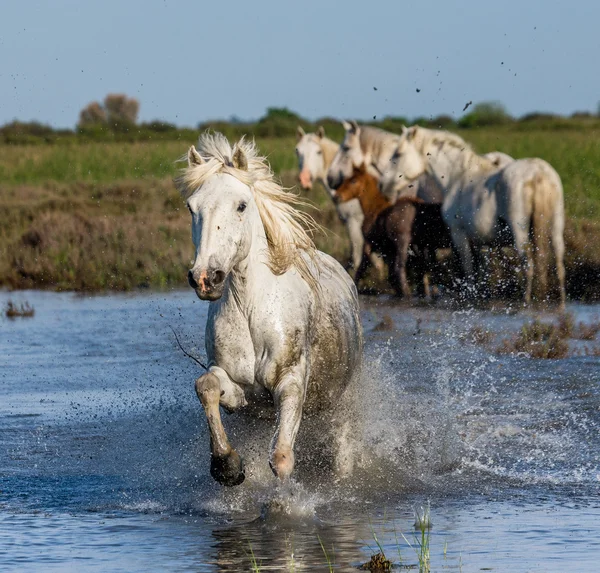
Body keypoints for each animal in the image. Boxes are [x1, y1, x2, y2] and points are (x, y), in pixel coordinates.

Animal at [176, 132, 364, 484]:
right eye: (192, 207)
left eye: (241, 205)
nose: (206, 278)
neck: (252, 309)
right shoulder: (242, 394)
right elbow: (206, 385)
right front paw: (227, 465)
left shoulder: (290, 382)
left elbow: (281, 459)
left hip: (341, 402)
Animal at [330, 161, 452, 294]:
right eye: (345, 179)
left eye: (353, 181)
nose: (336, 196)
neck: (374, 209)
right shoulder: (389, 249)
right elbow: (391, 274)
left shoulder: (370, 243)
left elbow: (362, 267)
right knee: (423, 268)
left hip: (404, 242)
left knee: (404, 268)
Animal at [382, 124, 564, 304]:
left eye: (398, 154)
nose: (383, 185)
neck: (457, 176)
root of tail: (538, 173)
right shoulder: (483, 242)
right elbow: (484, 270)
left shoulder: (459, 234)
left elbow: (468, 269)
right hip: (555, 229)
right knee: (559, 264)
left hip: (520, 234)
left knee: (529, 265)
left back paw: (527, 300)